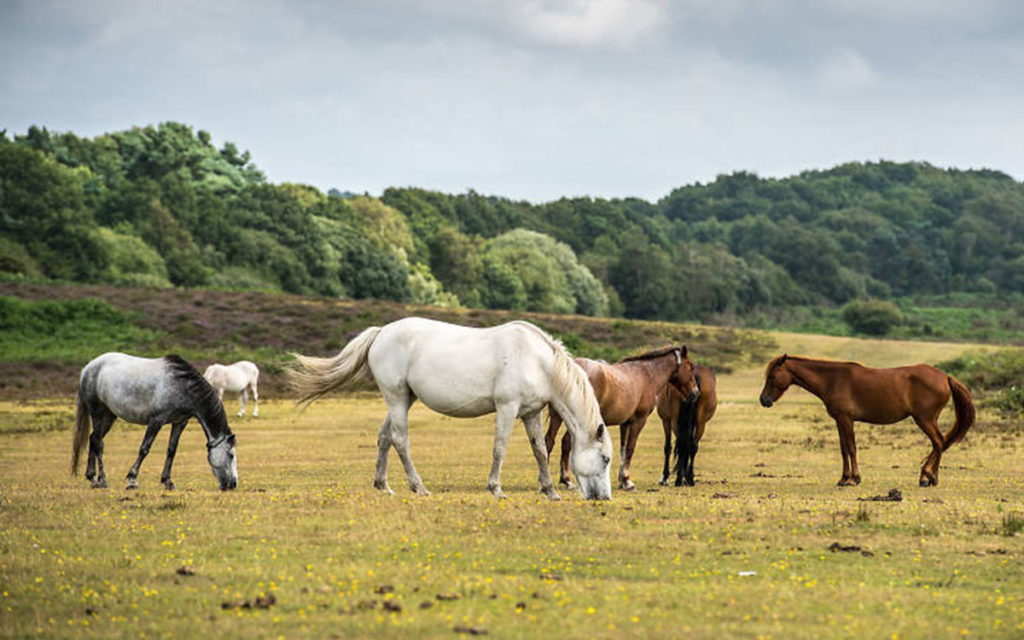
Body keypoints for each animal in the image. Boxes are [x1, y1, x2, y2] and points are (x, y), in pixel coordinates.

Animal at [72, 352, 239, 491]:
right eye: (231, 455)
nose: (233, 484)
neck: (182, 385)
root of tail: (88, 368)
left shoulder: (179, 422)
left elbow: (171, 450)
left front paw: (168, 482)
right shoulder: (156, 421)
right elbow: (144, 448)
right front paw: (132, 480)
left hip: (109, 416)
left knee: (93, 439)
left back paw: (93, 479)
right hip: (97, 412)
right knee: (99, 444)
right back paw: (103, 480)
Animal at [286, 317, 606, 499]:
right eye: (605, 458)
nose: (602, 497)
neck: (536, 360)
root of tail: (381, 332)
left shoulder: (530, 413)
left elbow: (539, 449)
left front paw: (550, 490)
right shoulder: (507, 408)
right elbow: (500, 448)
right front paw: (496, 488)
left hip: (403, 399)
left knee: (384, 437)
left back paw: (383, 485)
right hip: (396, 398)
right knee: (400, 440)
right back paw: (418, 487)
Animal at [544, 344, 696, 489]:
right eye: (690, 366)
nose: (695, 392)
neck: (647, 375)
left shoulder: (625, 423)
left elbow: (623, 449)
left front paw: (622, 480)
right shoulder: (639, 421)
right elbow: (630, 448)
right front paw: (627, 481)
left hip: (558, 416)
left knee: (550, 441)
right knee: (566, 442)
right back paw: (566, 480)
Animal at [761, 354, 974, 483]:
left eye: (772, 376)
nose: (763, 400)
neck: (833, 379)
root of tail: (945, 377)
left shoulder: (846, 419)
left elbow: (852, 448)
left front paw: (854, 478)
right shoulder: (839, 421)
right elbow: (843, 449)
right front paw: (843, 478)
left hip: (924, 419)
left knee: (938, 442)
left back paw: (927, 476)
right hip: (929, 419)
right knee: (941, 443)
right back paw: (931, 477)